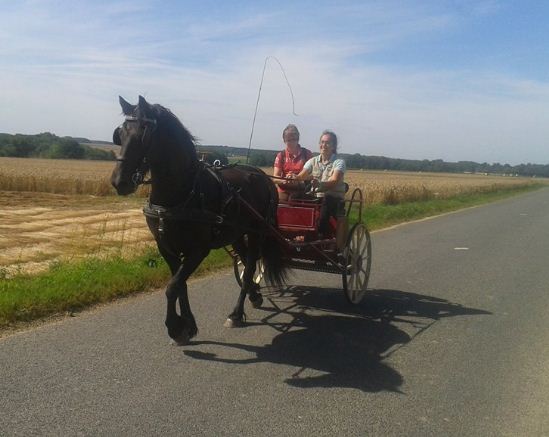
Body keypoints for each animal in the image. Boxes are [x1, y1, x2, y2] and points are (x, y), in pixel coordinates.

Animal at [111, 95, 286, 344]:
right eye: (120, 134)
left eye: (144, 133)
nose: (119, 182)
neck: (181, 194)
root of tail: (262, 176)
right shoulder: (166, 248)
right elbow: (180, 284)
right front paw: (187, 326)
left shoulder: (199, 250)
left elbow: (172, 286)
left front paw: (175, 327)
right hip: (236, 234)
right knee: (245, 262)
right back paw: (254, 295)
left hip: (255, 232)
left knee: (251, 264)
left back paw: (236, 313)